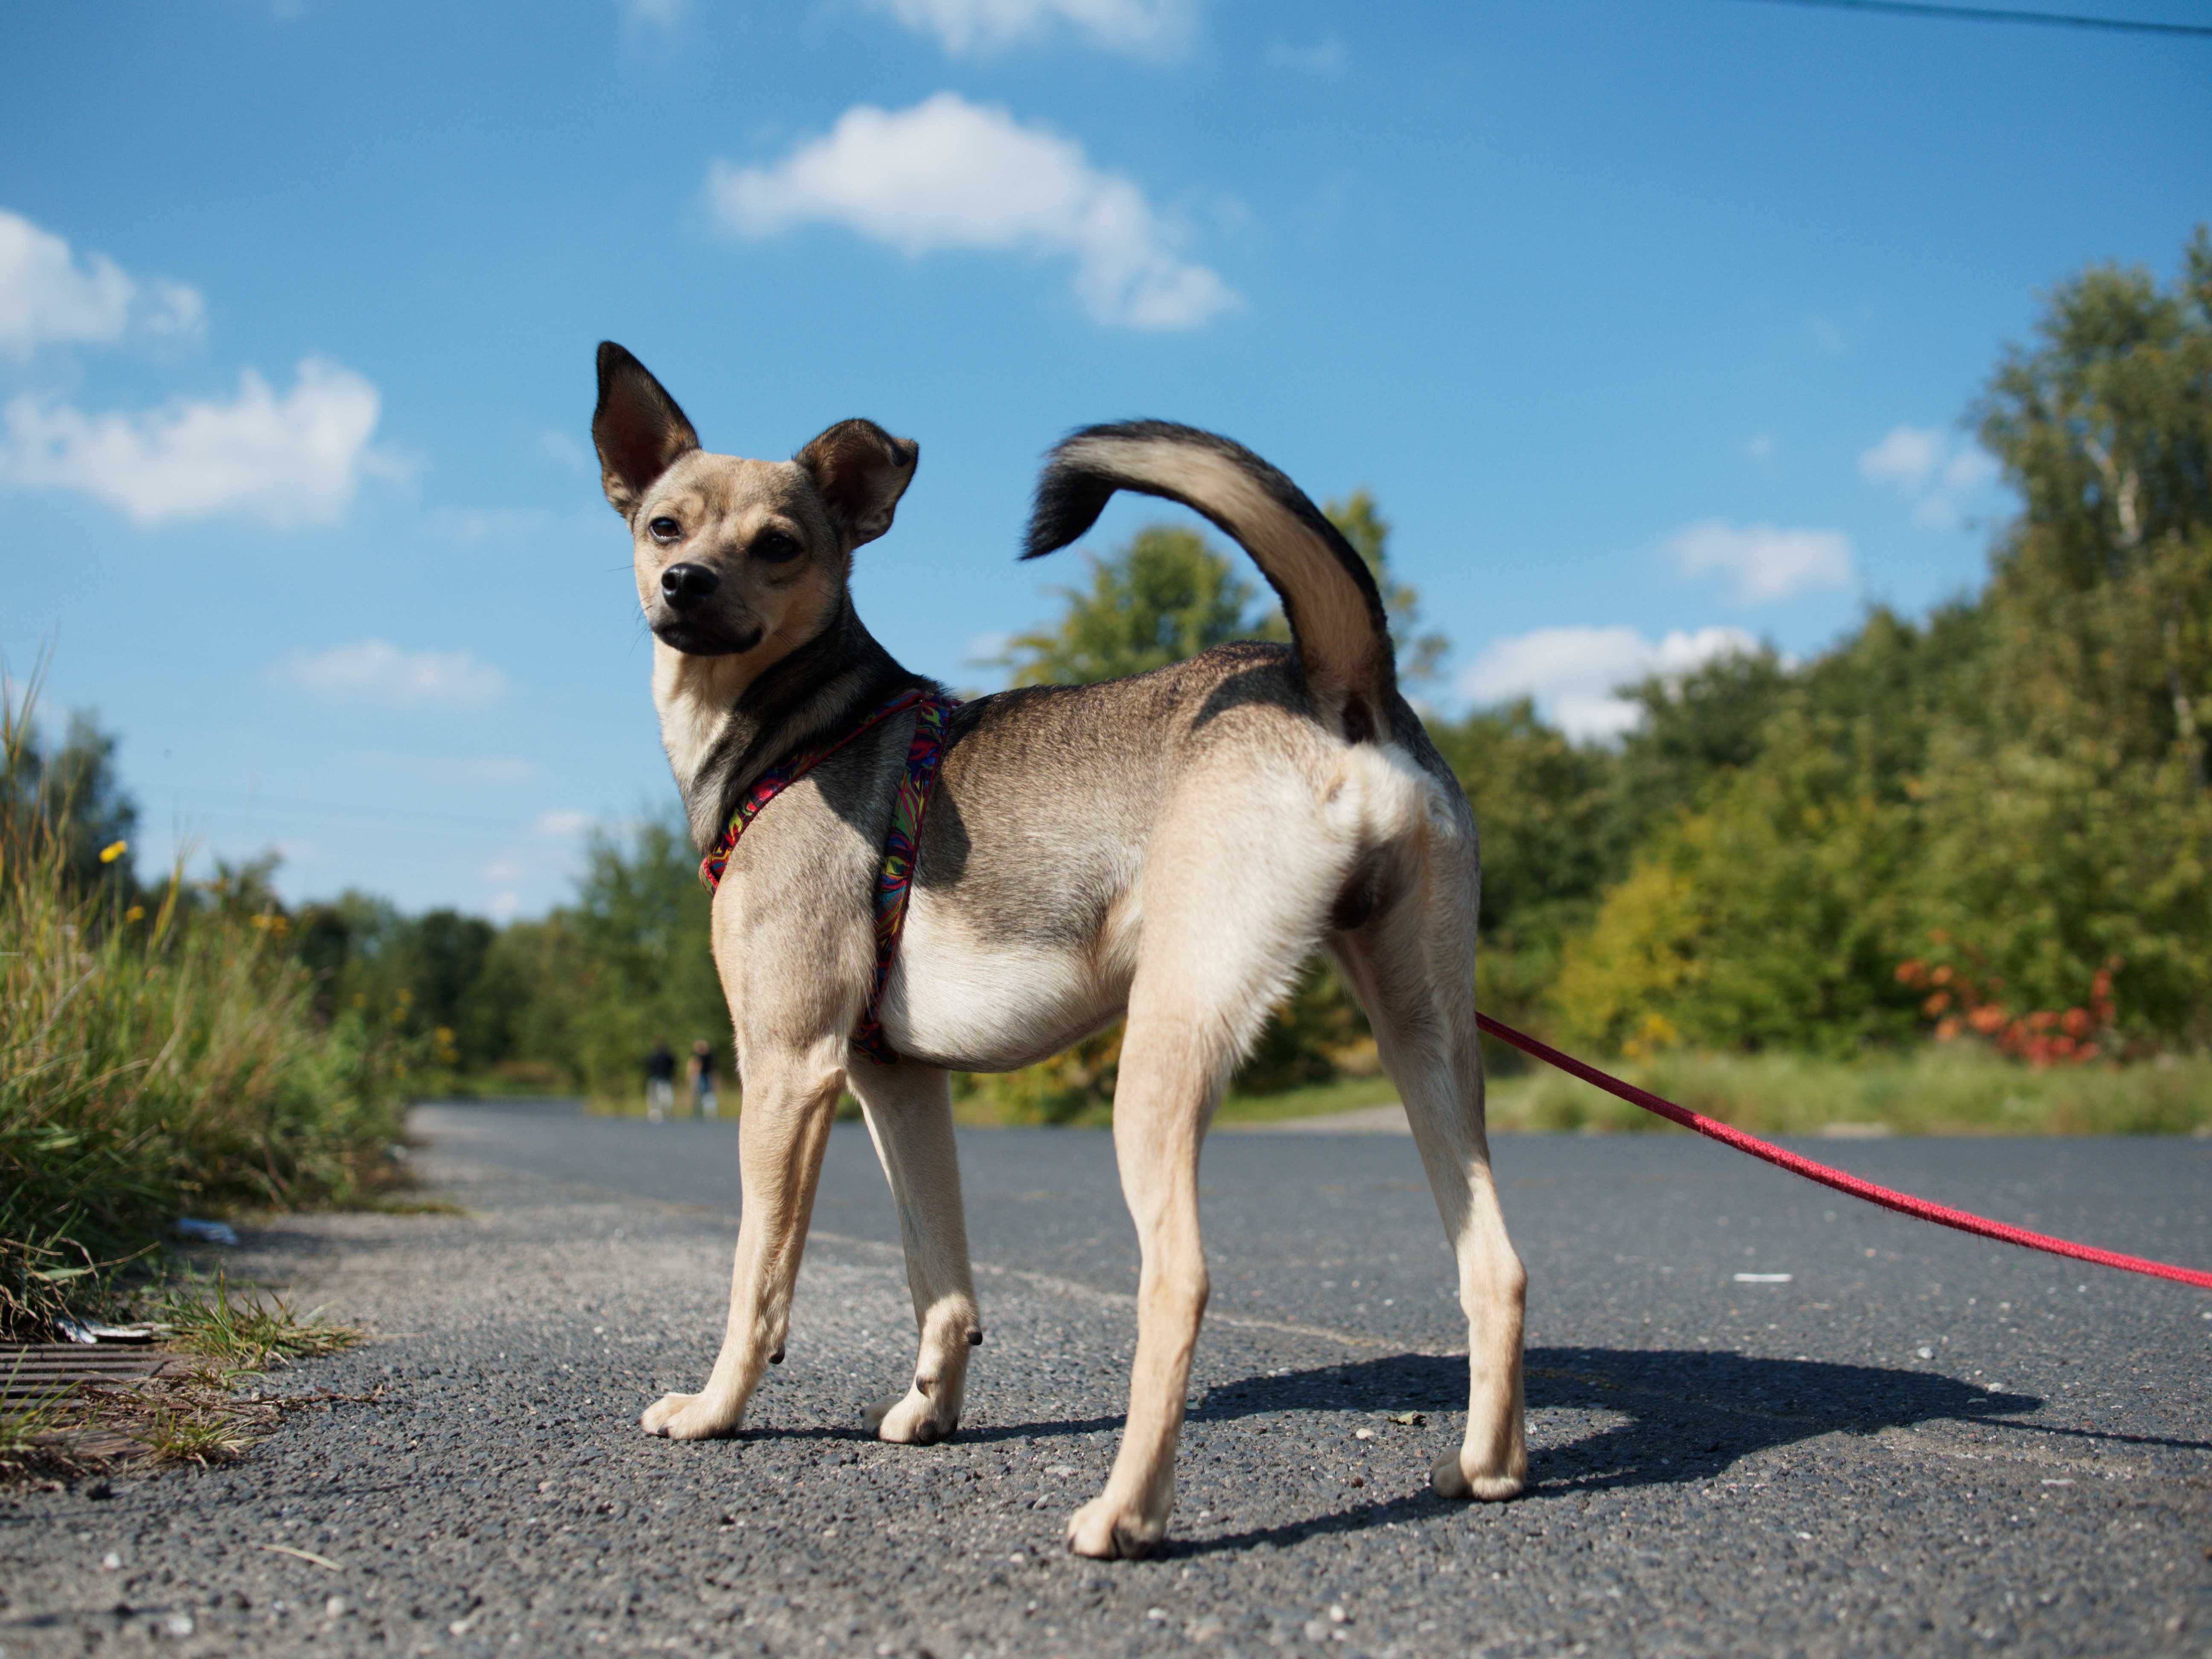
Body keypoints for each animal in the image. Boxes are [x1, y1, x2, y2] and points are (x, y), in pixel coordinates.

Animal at [588, 338, 1522, 1557]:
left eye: (780, 544)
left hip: (1165, 1051)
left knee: (1180, 1281)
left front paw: (713, 1410)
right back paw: (1487, 1468)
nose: (687, 585)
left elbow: (758, 1277)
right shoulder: (897, 1082)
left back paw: (1125, 1513)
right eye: (664, 526)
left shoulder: (788, 1069)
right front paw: (929, 1413)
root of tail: (1332, 675)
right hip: (1425, 1036)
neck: (798, 728)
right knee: (1495, 1265)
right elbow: (939, 1275)